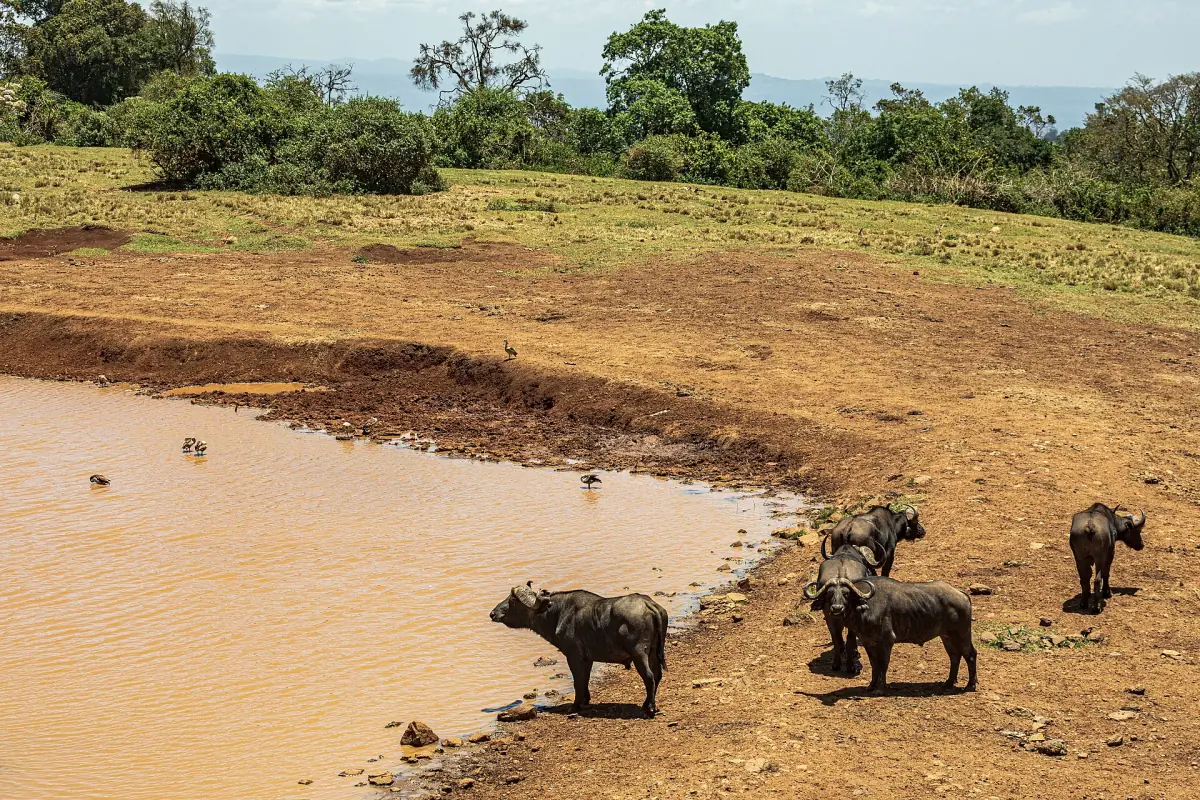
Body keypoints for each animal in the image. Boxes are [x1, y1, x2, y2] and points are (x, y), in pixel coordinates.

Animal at [490, 584, 668, 717]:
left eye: (512, 601)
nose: (492, 613)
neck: (557, 613)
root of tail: (648, 604)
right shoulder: (587, 659)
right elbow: (585, 679)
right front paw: (585, 700)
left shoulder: (573, 656)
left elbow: (577, 681)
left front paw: (575, 706)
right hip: (653, 653)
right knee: (657, 675)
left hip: (640, 654)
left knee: (649, 677)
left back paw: (649, 708)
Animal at [803, 541, 883, 674]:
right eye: (830, 593)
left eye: (846, 594)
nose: (837, 608)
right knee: (848, 638)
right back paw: (851, 665)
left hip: (829, 616)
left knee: (836, 636)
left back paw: (837, 663)